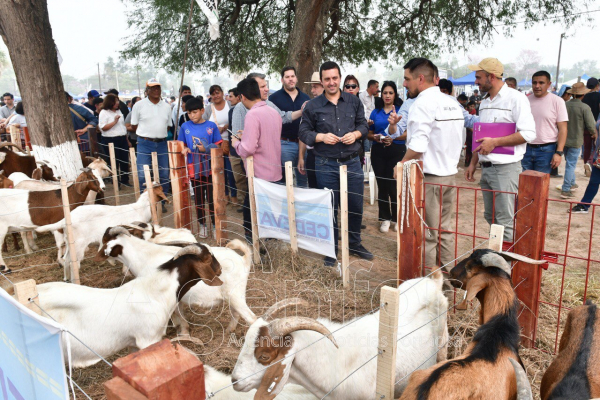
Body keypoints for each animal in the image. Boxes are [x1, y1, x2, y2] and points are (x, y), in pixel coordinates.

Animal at [35, 184, 169, 280]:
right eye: (162, 189)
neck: (140, 209)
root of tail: (65, 220)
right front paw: (127, 272)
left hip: (70, 244)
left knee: (65, 260)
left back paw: (66, 278)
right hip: (78, 245)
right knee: (72, 263)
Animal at [94, 228, 255, 334]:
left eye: (105, 241)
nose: (98, 256)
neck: (144, 255)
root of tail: (243, 259)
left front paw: (181, 332)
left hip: (235, 295)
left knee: (251, 318)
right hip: (232, 297)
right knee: (236, 314)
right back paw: (228, 330)